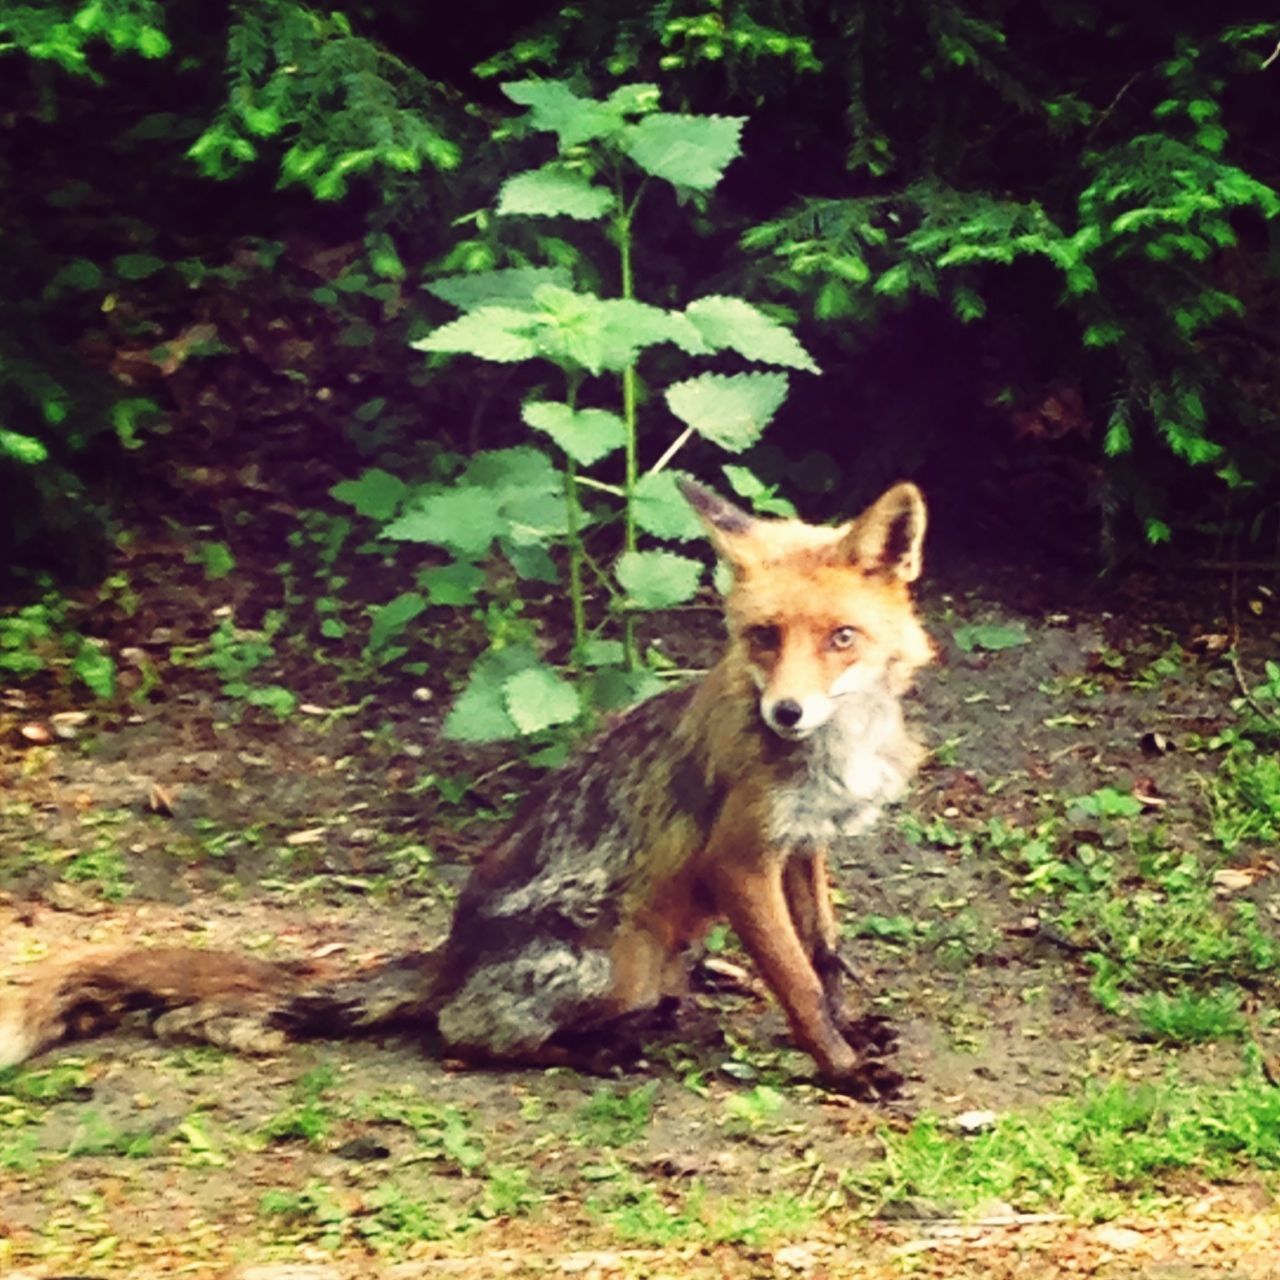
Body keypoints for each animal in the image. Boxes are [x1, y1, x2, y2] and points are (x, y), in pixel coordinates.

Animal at [0, 481, 931, 1100]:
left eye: (841, 638)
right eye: (763, 636)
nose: (786, 712)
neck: (835, 750)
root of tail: (448, 955)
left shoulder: (803, 845)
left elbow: (824, 956)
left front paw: (851, 1027)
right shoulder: (741, 862)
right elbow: (798, 985)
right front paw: (844, 1070)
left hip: (658, 956)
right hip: (612, 958)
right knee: (464, 1034)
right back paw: (591, 1051)